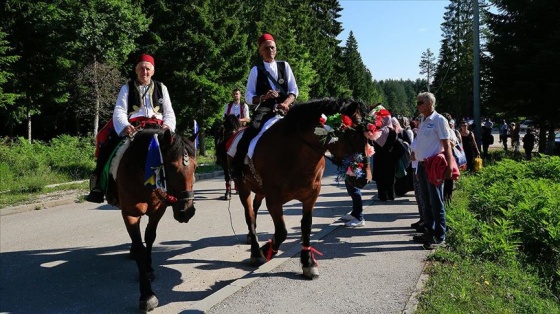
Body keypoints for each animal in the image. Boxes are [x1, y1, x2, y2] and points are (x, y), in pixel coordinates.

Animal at [108, 128, 198, 312]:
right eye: (171, 167)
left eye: (195, 167)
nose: (187, 212)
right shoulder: (130, 214)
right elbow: (139, 247)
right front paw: (147, 295)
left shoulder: (157, 211)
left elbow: (149, 238)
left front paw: (148, 269)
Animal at [231, 97, 368, 278]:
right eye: (353, 134)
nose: (364, 178)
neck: (295, 153)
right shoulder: (273, 199)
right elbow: (282, 232)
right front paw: (266, 250)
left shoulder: (311, 195)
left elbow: (306, 226)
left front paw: (308, 262)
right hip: (243, 186)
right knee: (250, 216)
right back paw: (255, 252)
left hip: (259, 191)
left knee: (255, 208)